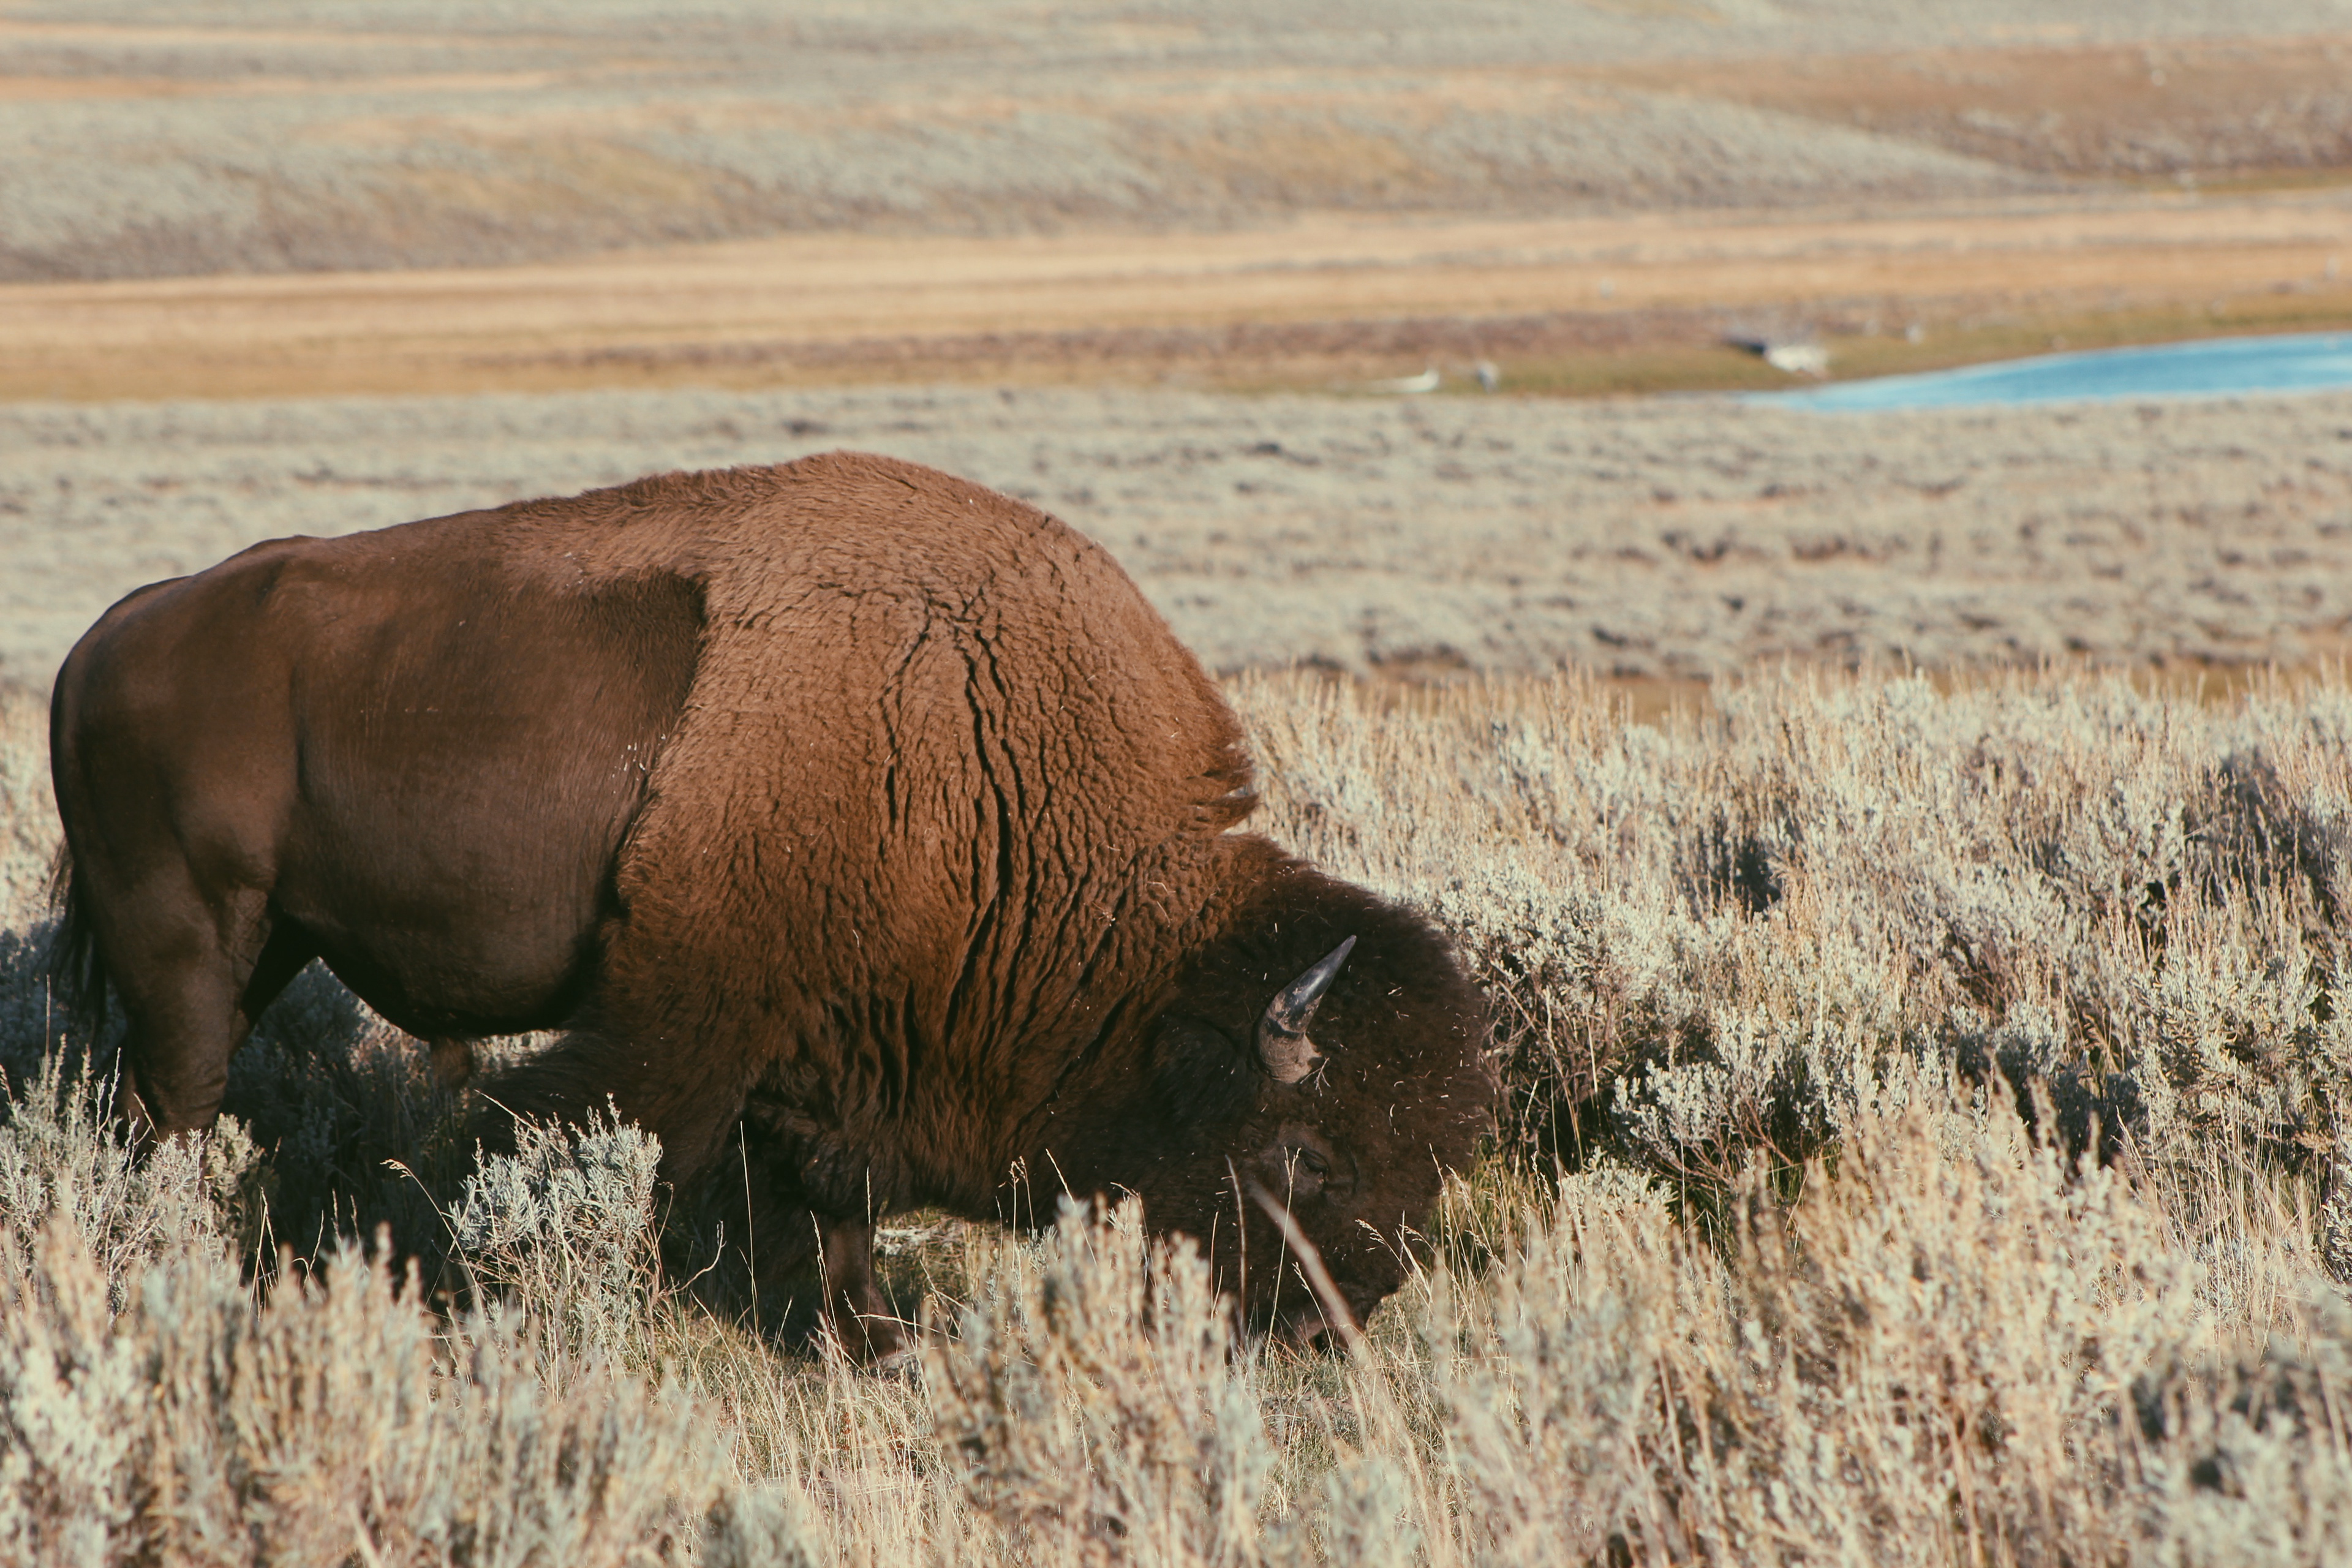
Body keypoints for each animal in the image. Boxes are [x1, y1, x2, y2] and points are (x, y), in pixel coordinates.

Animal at [49, 451, 1493, 1356]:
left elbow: (835, 1202)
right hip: (190, 944)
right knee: (175, 1105)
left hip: (262, 945)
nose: (1329, 1325)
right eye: (1303, 1156)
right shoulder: (685, 1018)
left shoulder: (839, 1044)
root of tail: (108, 635)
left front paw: (876, 1342)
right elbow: (588, 1142)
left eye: (1434, 1162)